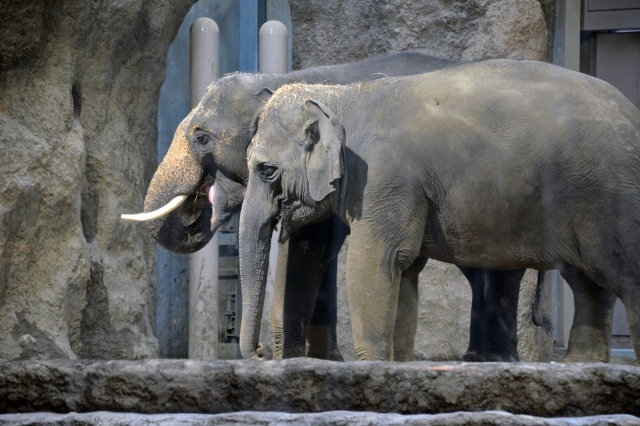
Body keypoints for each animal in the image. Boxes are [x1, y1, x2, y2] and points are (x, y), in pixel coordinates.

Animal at [124, 51, 552, 362]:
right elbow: (304, 248)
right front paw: (309, 360)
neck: (286, 78)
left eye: (202, 137)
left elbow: (313, 248)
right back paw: (480, 358)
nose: (258, 351)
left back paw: (490, 361)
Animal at [240, 58, 640, 362]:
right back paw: (581, 365)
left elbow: (375, 263)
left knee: (624, 278)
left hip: (613, 196)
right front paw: (395, 366)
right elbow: (401, 270)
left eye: (266, 170)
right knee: (588, 283)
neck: (342, 96)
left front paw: (371, 367)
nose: (259, 352)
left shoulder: (383, 179)